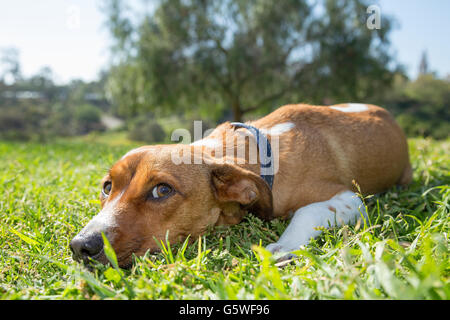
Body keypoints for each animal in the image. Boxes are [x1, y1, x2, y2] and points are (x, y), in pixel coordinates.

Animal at [69, 103, 412, 268]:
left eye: (162, 190)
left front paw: (283, 246)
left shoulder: (348, 199)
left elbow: (306, 213)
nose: (80, 246)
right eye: (107, 187)